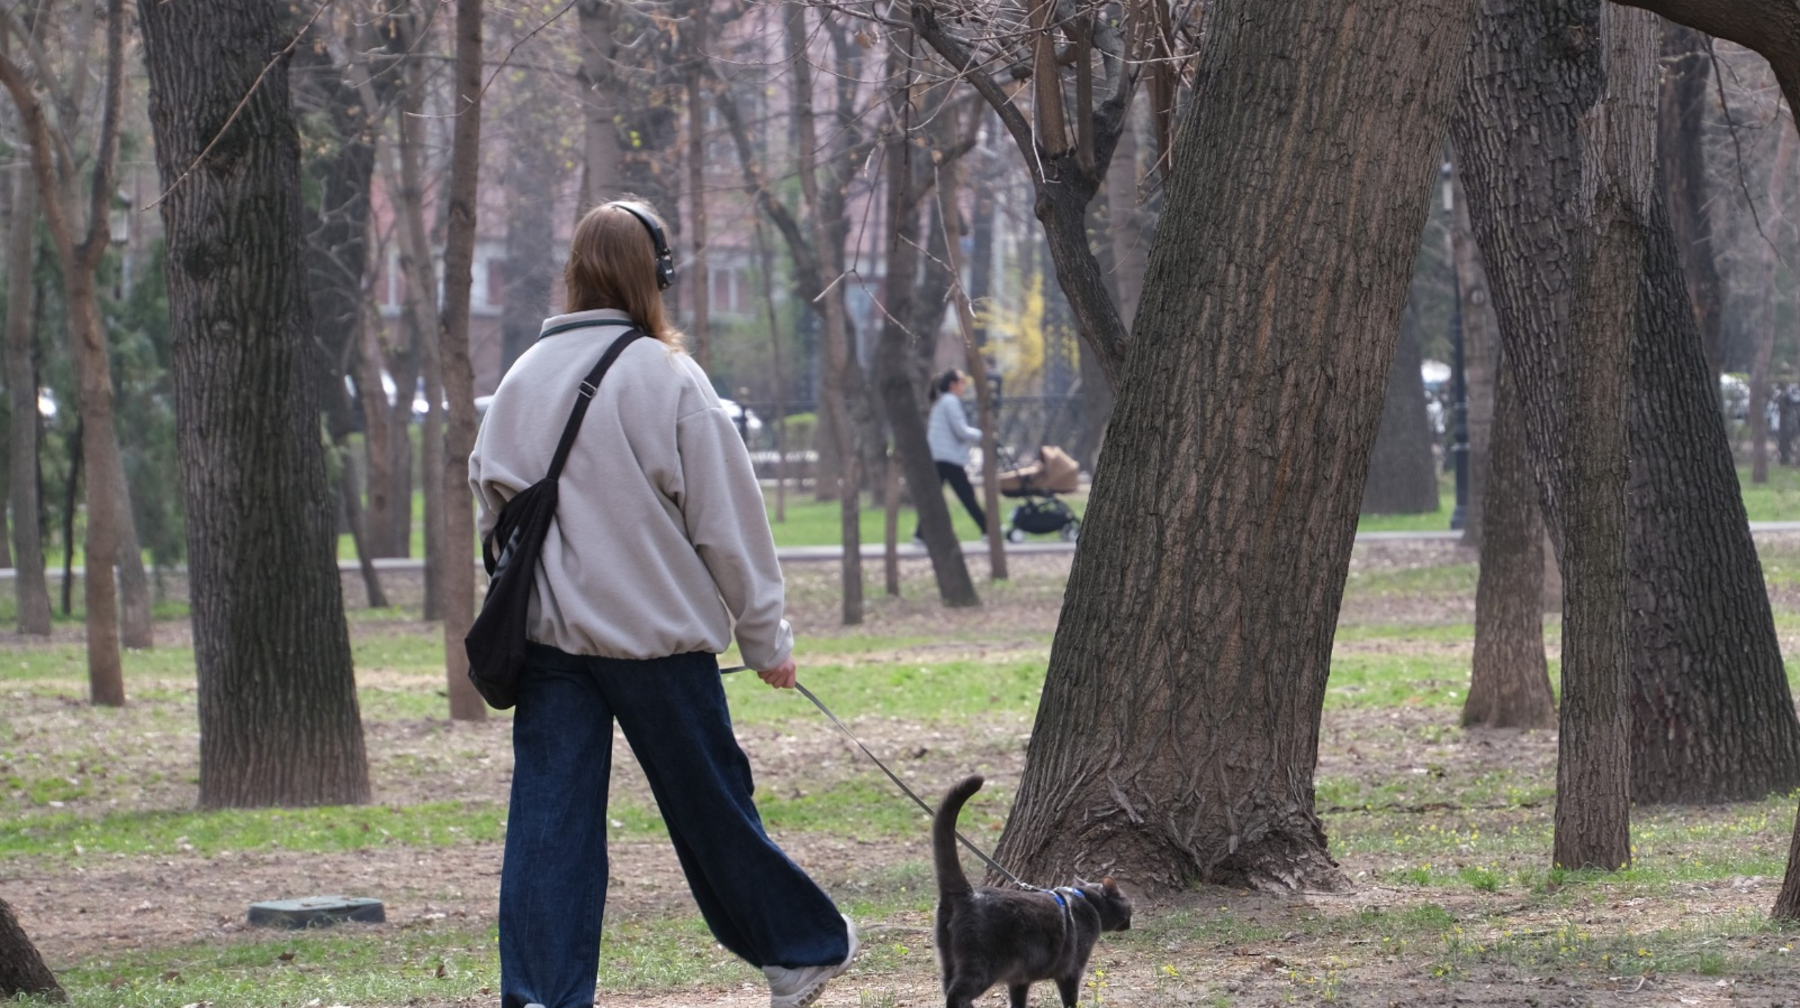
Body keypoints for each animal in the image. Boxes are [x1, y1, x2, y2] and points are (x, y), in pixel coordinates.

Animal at [936, 774, 1130, 1008]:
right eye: (1129, 905)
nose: (1130, 923)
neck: (1087, 900)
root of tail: (966, 894)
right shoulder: (1071, 971)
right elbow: (1071, 999)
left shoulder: (1020, 979)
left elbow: (1018, 1001)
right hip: (982, 965)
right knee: (957, 993)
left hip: (949, 959)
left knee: (947, 987)